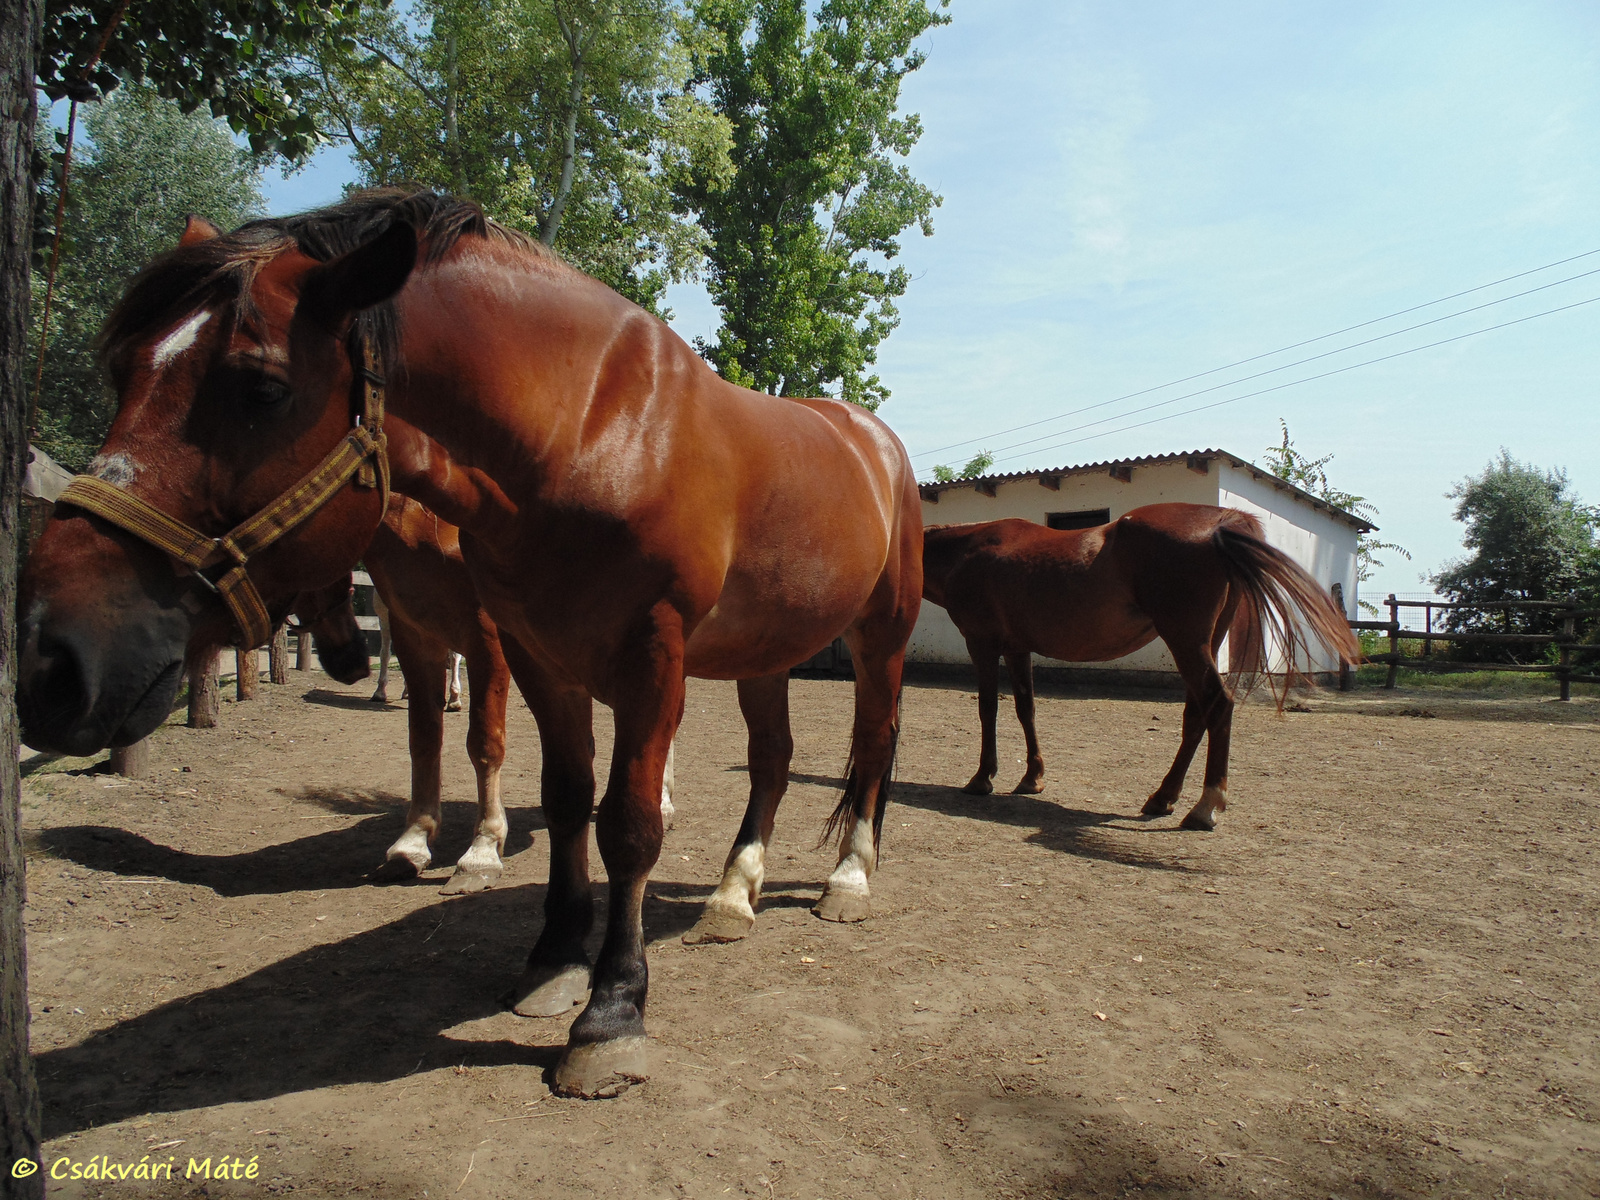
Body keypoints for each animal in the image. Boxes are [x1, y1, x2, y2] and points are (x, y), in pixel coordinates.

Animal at [21, 192, 928, 1107]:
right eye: (123, 371)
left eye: (263, 388)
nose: (54, 663)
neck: (595, 431)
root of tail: (875, 441)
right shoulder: (537, 654)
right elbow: (566, 801)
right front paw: (554, 962)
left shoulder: (648, 657)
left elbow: (628, 825)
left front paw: (610, 1013)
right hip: (763, 650)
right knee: (773, 759)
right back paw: (733, 896)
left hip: (879, 636)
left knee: (873, 742)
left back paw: (848, 879)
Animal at [921, 508, 1356, 838]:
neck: (968, 551)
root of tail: (1220, 524)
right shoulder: (1017, 648)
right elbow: (1025, 709)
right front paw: (1032, 778)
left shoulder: (982, 644)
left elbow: (988, 710)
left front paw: (982, 778)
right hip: (1204, 644)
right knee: (1196, 716)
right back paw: (1163, 798)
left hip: (1186, 643)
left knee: (1217, 705)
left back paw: (1205, 806)